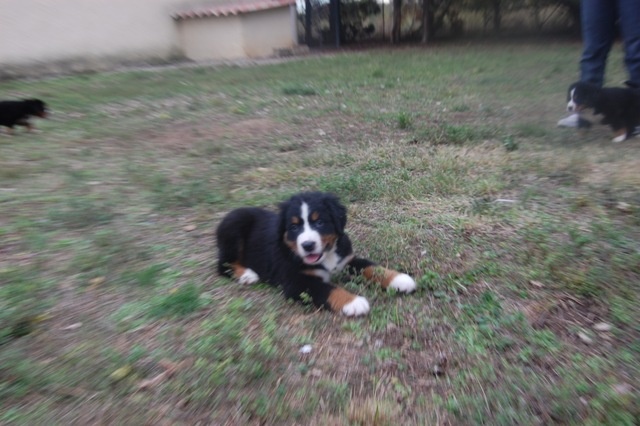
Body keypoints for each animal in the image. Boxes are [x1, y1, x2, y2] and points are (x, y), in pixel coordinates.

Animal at [216, 192, 416, 316]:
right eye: (294, 227)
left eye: (319, 222)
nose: (308, 245)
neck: (327, 256)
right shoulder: (296, 282)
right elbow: (326, 289)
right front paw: (353, 302)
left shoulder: (346, 261)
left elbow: (372, 267)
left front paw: (399, 279)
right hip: (235, 227)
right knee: (223, 265)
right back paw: (247, 275)